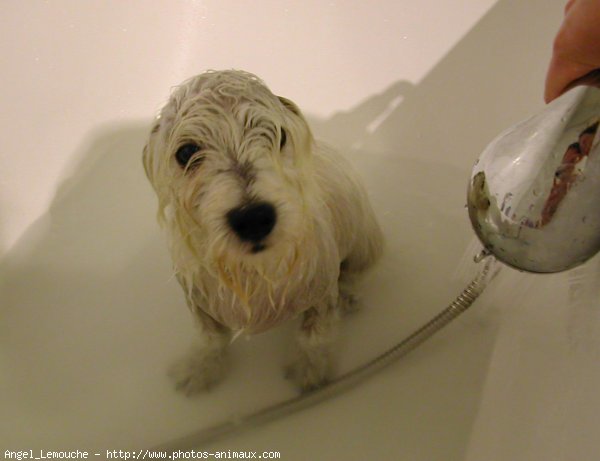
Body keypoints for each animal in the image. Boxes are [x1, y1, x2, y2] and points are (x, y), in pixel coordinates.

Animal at [143, 70, 382, 394]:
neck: (253, 271)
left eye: (280, 135)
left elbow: (313, 337)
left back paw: (348, 295)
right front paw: (200, 369)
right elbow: (210, 339)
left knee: (356, 273)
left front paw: (309, 371)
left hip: (363, 244)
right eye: (186, 152)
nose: (254, 218)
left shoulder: (320, 294)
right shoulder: (197, 299)